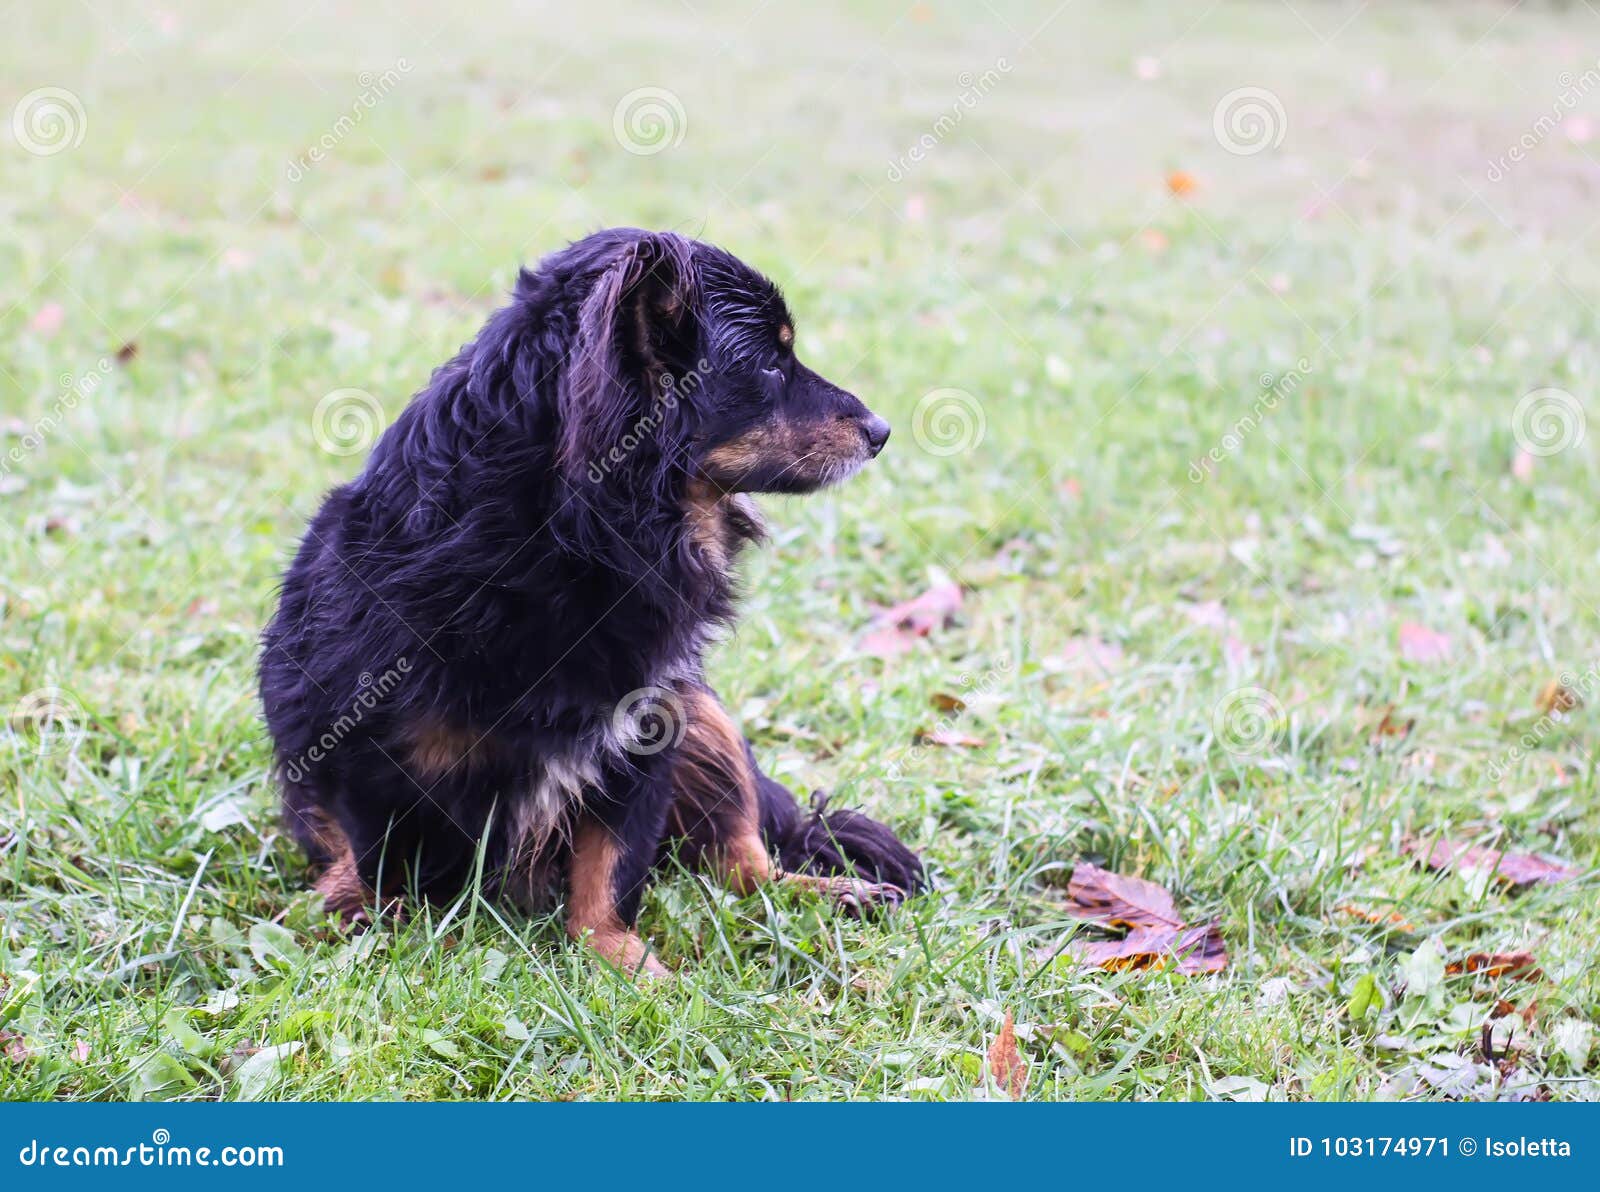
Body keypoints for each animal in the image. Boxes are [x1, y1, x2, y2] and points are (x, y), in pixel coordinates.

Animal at [256, 227, 921, 972]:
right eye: (770, 366)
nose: (881, 430)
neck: (567, 534)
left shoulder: (647, 726)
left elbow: (611, 867)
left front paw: (617, 958)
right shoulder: (364, 753)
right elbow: (382, 864)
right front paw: (387, 936)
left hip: (706, 717)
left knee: (747, 868)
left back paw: (835, 892)